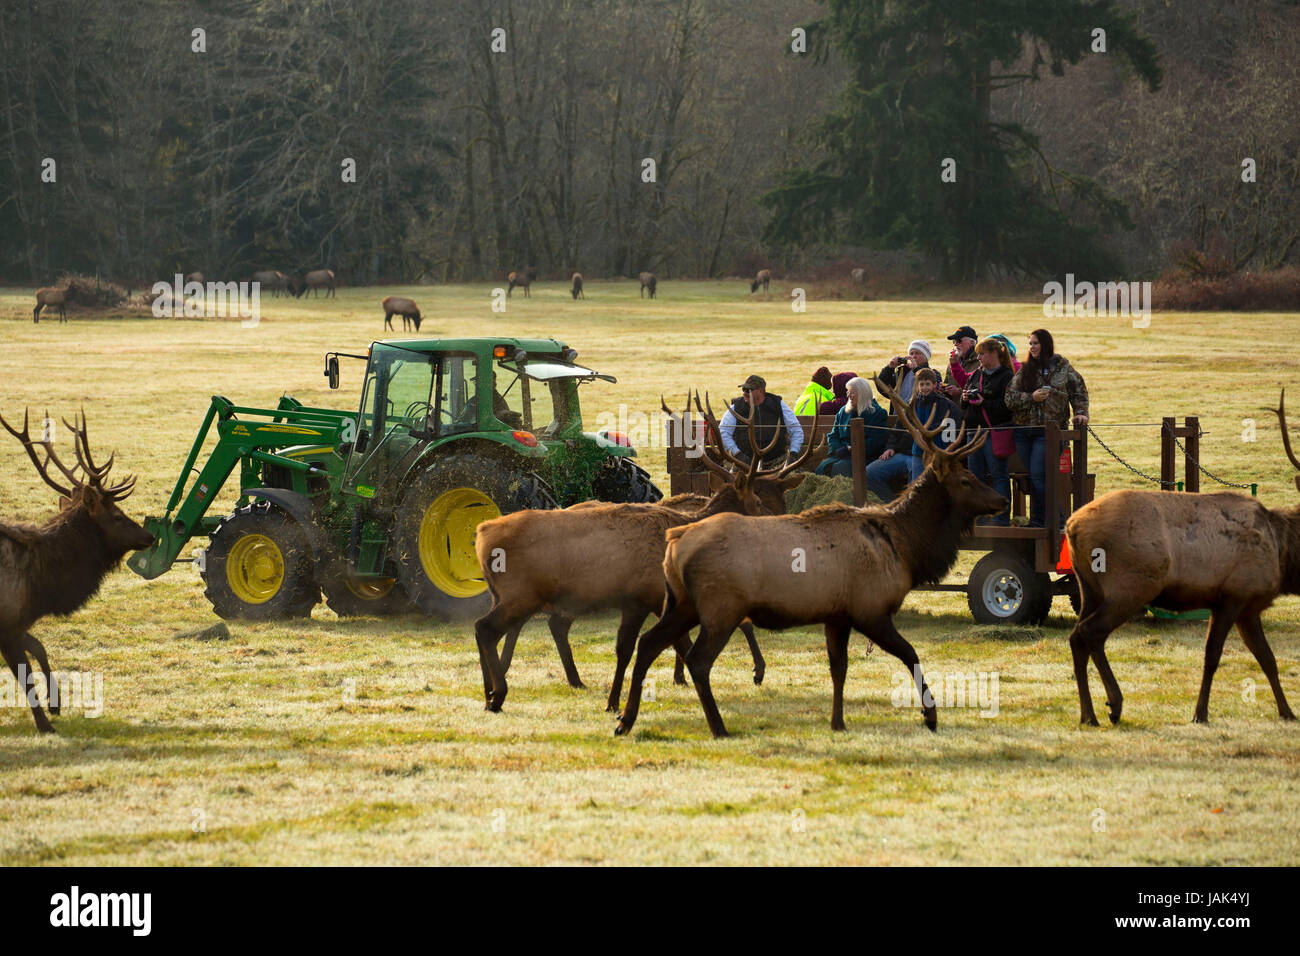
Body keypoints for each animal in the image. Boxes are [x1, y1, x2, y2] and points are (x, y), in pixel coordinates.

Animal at [0, 408, 153, 733]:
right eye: (118, 516)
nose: (150, 536)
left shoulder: (15, 623)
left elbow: (40, 649)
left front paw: (56, 704)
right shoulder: (6, 623)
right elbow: (25, 676)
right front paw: (45, 724)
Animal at [470, 392, 821, 712]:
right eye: (758, 501)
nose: (777, 525)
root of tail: (481, 534)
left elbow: (648, 646)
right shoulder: (649, 595)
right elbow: (654, 646)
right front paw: (621, 701)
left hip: (521, 595)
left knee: (511, 628)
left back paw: (500, 690)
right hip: (522, 593)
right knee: (489, 628)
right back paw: (498, 694)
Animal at [611, 374, 1003, 738]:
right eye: (966, 480)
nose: (1000, 500)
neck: (905, 547)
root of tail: (675, 544)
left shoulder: (838, 615)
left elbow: (839, 668)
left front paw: (837, 722)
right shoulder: (871, 608)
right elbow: (911, 655)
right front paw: (930, 715)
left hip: (681, 603)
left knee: (648, 643)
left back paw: (625, 720)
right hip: (720, 607)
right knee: (697, 660)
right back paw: (717, 726)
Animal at [1066, 392, 1300, 728]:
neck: (1283, 555)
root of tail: (1071, 526)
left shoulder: (1248, 606)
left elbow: (1267, 658)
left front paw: (1287, 712)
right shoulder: (1233, 596)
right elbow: (1212, 655)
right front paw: (1200, 714)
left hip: (1088, 587)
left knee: (1076, 636)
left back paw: (1088, 714)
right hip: (1131, 586)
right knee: (1091, 632)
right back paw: (1114, 705)